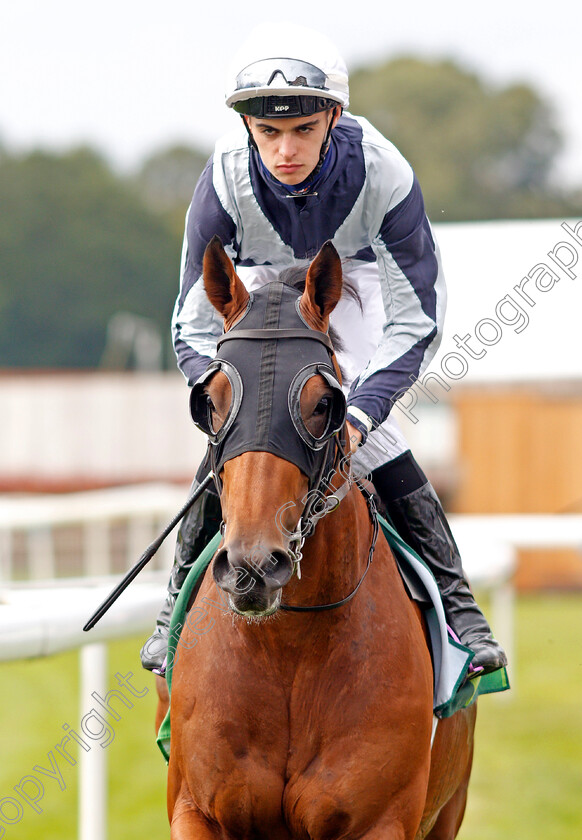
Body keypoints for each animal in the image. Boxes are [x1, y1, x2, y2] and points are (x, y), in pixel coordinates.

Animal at [156, 238, 480, 840]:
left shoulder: (380, 822)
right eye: (211, 401)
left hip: (449, 809)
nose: (254, 566)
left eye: (323, 403)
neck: (288, 645)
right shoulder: (197, 810)